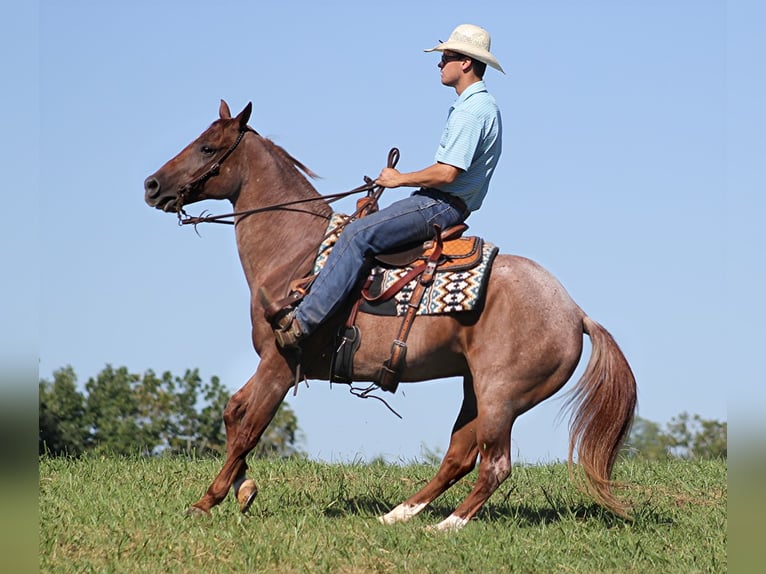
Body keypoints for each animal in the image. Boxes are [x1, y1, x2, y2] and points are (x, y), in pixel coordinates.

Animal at [146, 101, 640, 532]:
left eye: (208, 147)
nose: (151, 185)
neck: (297, 253)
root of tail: (575, 312)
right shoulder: (269, 362)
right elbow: (234, 413)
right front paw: (242, 488)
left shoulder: (281, 362)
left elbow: (250, 426)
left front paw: (207, 500)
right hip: (475, 389)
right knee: (459, 457)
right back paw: (398, 514)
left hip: (502, 395)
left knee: (494, 465)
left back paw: (446, 526)